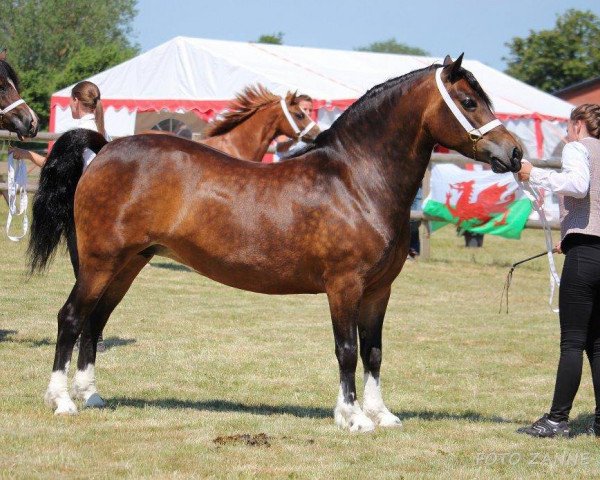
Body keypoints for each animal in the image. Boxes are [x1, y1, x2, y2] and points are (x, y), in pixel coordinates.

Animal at [30, 55, 524, 432]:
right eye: (468, 101)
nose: (515, 152)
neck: (356, 180)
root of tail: (105, 148)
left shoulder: (378, 291)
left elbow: (374, 351)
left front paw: (381, 413)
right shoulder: (343, 286)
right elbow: (347, 349)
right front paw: (352, 418)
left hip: (129, 263)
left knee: (95, 321)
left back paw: (92, 396)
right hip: (100, 262)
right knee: (71, 317)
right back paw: (63, 401)